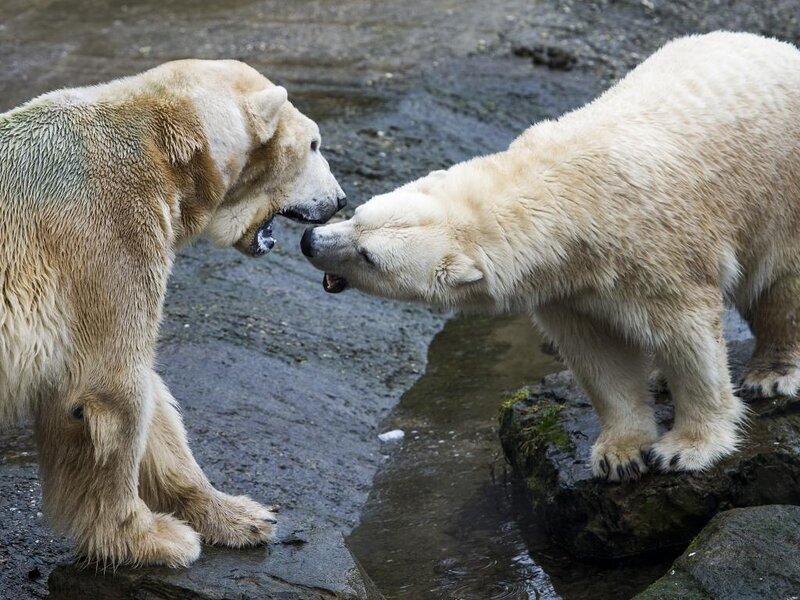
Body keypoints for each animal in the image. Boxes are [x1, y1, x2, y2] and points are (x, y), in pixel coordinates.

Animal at [0, 59, 345, 566]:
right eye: (315, 144)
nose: (340, 199)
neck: (164, 146)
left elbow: (155, 400)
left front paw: (242, 516)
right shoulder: (109, 235)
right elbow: (109, 389)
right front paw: (151, 537)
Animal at [301, 31, 800, 482]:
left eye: (368, 255)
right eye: (357, 215)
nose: (311, 241)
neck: (566, 194)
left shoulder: (656, 252)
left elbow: (689, 338)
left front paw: (684, 448)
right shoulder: (567, 286)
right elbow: (599, 356)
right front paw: (619, 454)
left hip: (778, 191)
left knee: (781, 283)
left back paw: (772, 373)